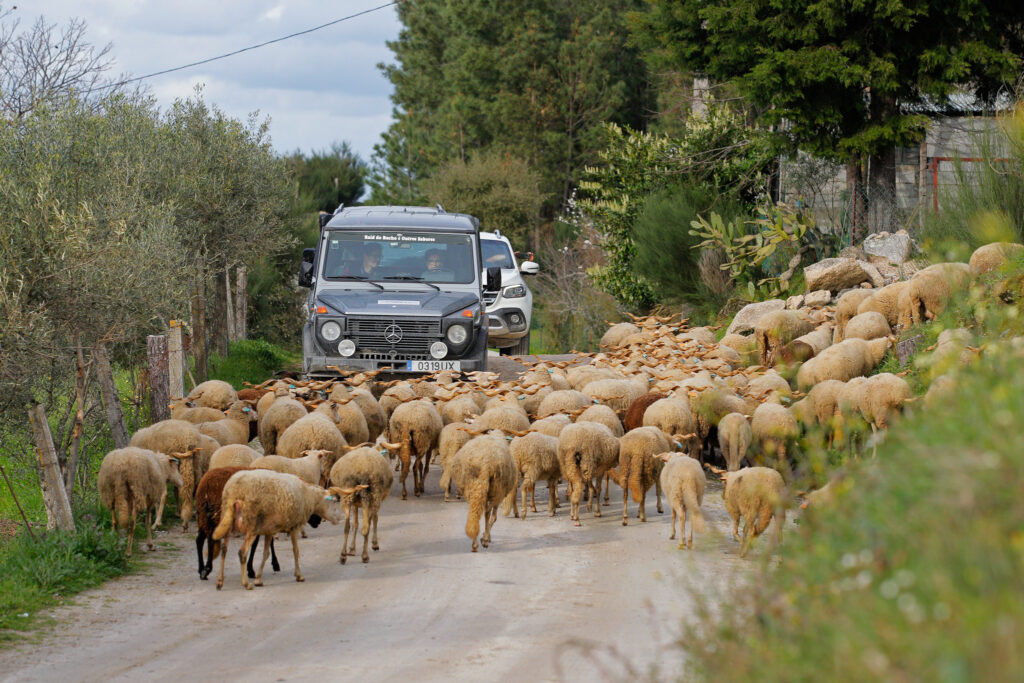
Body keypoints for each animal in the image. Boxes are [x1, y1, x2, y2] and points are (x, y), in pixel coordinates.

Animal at [212, 473, 348, 589]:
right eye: (334, 502)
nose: (339, 519)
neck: (309, 497)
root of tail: (234, 491)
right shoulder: (294, 526)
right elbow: (296, 551)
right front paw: (299, 575)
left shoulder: (269, 530)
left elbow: (266, 554)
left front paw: (258, 579)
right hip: (252, 526)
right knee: (242, 552)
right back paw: (246, 583)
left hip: (228, 521)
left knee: (224, 549)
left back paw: (220, 581)